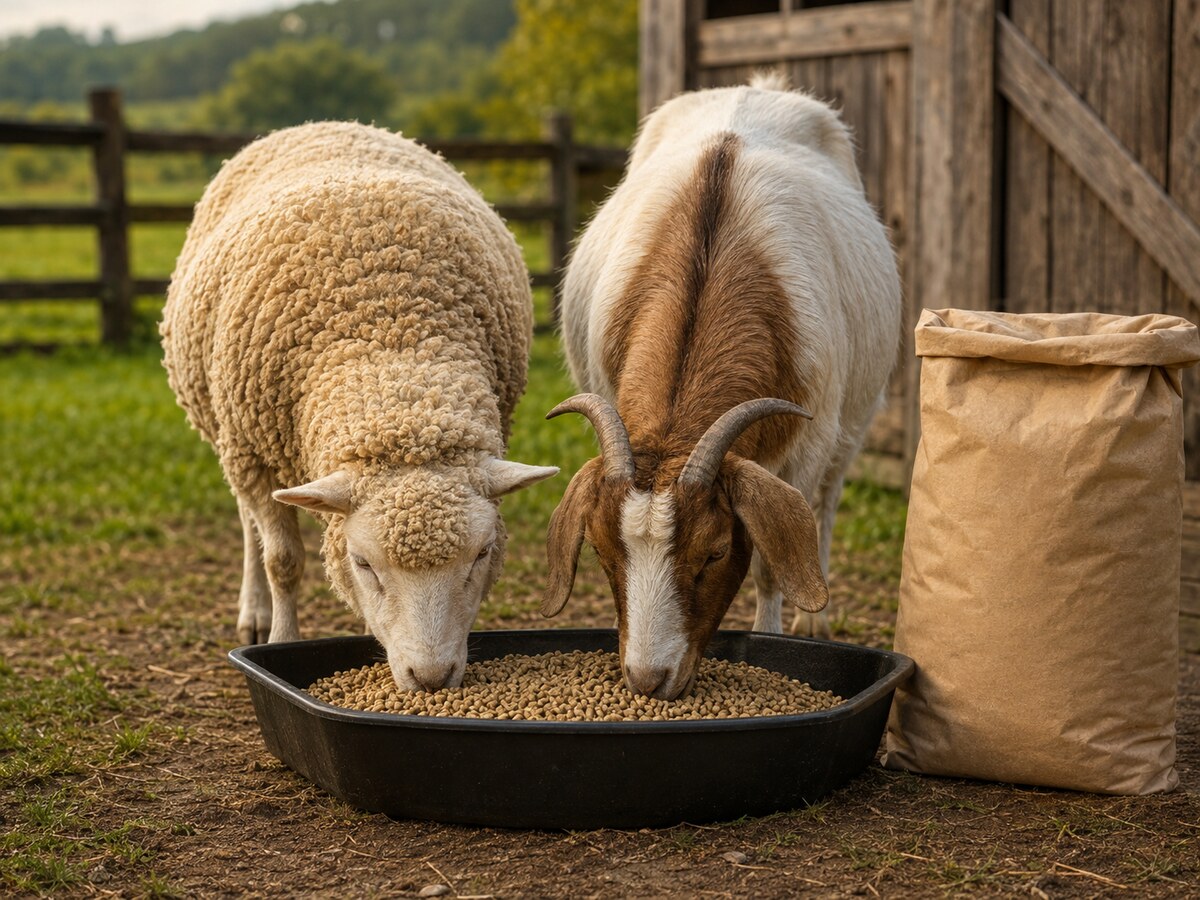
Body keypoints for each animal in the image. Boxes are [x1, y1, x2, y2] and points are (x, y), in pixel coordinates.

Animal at [161, 121, 557, 691]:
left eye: (482, 555)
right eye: (362, 563)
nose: (431, 676)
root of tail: (327, 123)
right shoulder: (250, 452)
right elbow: (283, 560)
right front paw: (280, 641)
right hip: (228, 436)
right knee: (249, 526)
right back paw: (254, 610)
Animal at [543, 74, 901, 699]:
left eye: (713, 554)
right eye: (603, 553)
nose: (649, 678)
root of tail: (757, 88)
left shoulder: (806, 444)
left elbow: (773, 560)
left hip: (855, 423)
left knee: (828, 502)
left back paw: (815, 621)